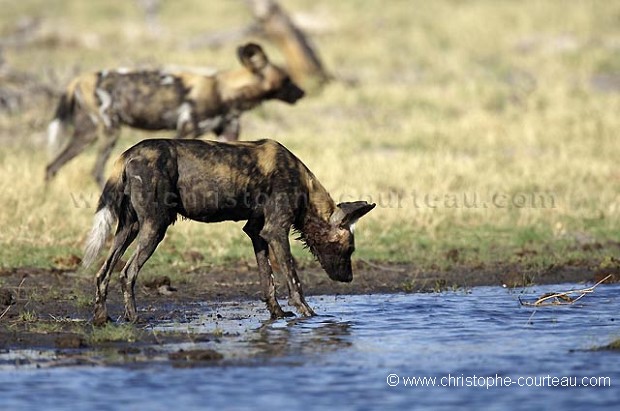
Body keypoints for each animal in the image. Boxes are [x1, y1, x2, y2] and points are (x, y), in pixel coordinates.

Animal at [44, 43, 306, 185]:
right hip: (110, 131)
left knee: (51, 166)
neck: (223, 91)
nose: (302, 92)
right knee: (96, 170)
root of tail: (79, 78)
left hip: (86, 134)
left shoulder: (228, 133)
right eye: (286, 79)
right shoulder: (186, 129)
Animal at [81, 140, 372, 326]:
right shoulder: (276, 231)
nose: (348, 278)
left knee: (103, 273)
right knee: (127, 272)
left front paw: (277, 314)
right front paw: (309, 314)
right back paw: (134, 318)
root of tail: (128, 153)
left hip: (129, 229)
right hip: (155, 227)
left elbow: (268, 281)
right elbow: (294, 281)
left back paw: (102, 318)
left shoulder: (257, 232)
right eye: (349, 249)